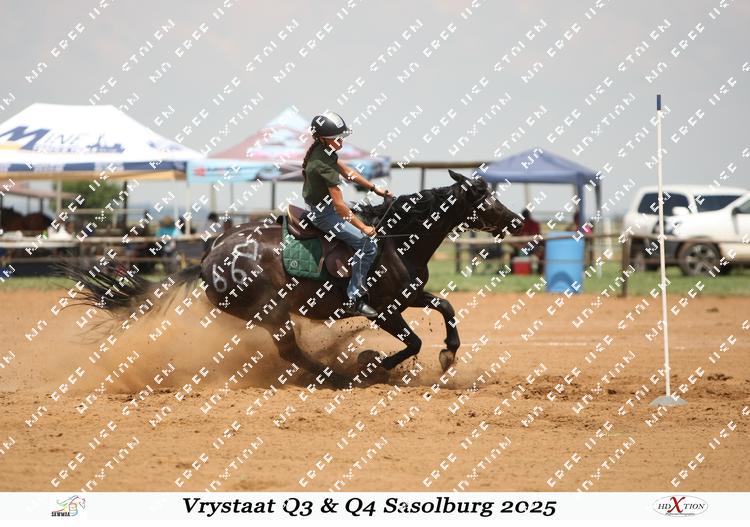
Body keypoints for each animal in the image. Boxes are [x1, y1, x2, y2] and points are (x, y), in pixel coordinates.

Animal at [60, 170, 523, 388]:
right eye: (483, 198)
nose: (517, 220)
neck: (395, 242)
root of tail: (210, 254)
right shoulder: (383, 311)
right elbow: (412, 343)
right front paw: (371, 364)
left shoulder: (409, 296)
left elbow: (446, 307)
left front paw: (449, 353)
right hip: (271, 315)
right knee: (291, 353)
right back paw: (334, 375)